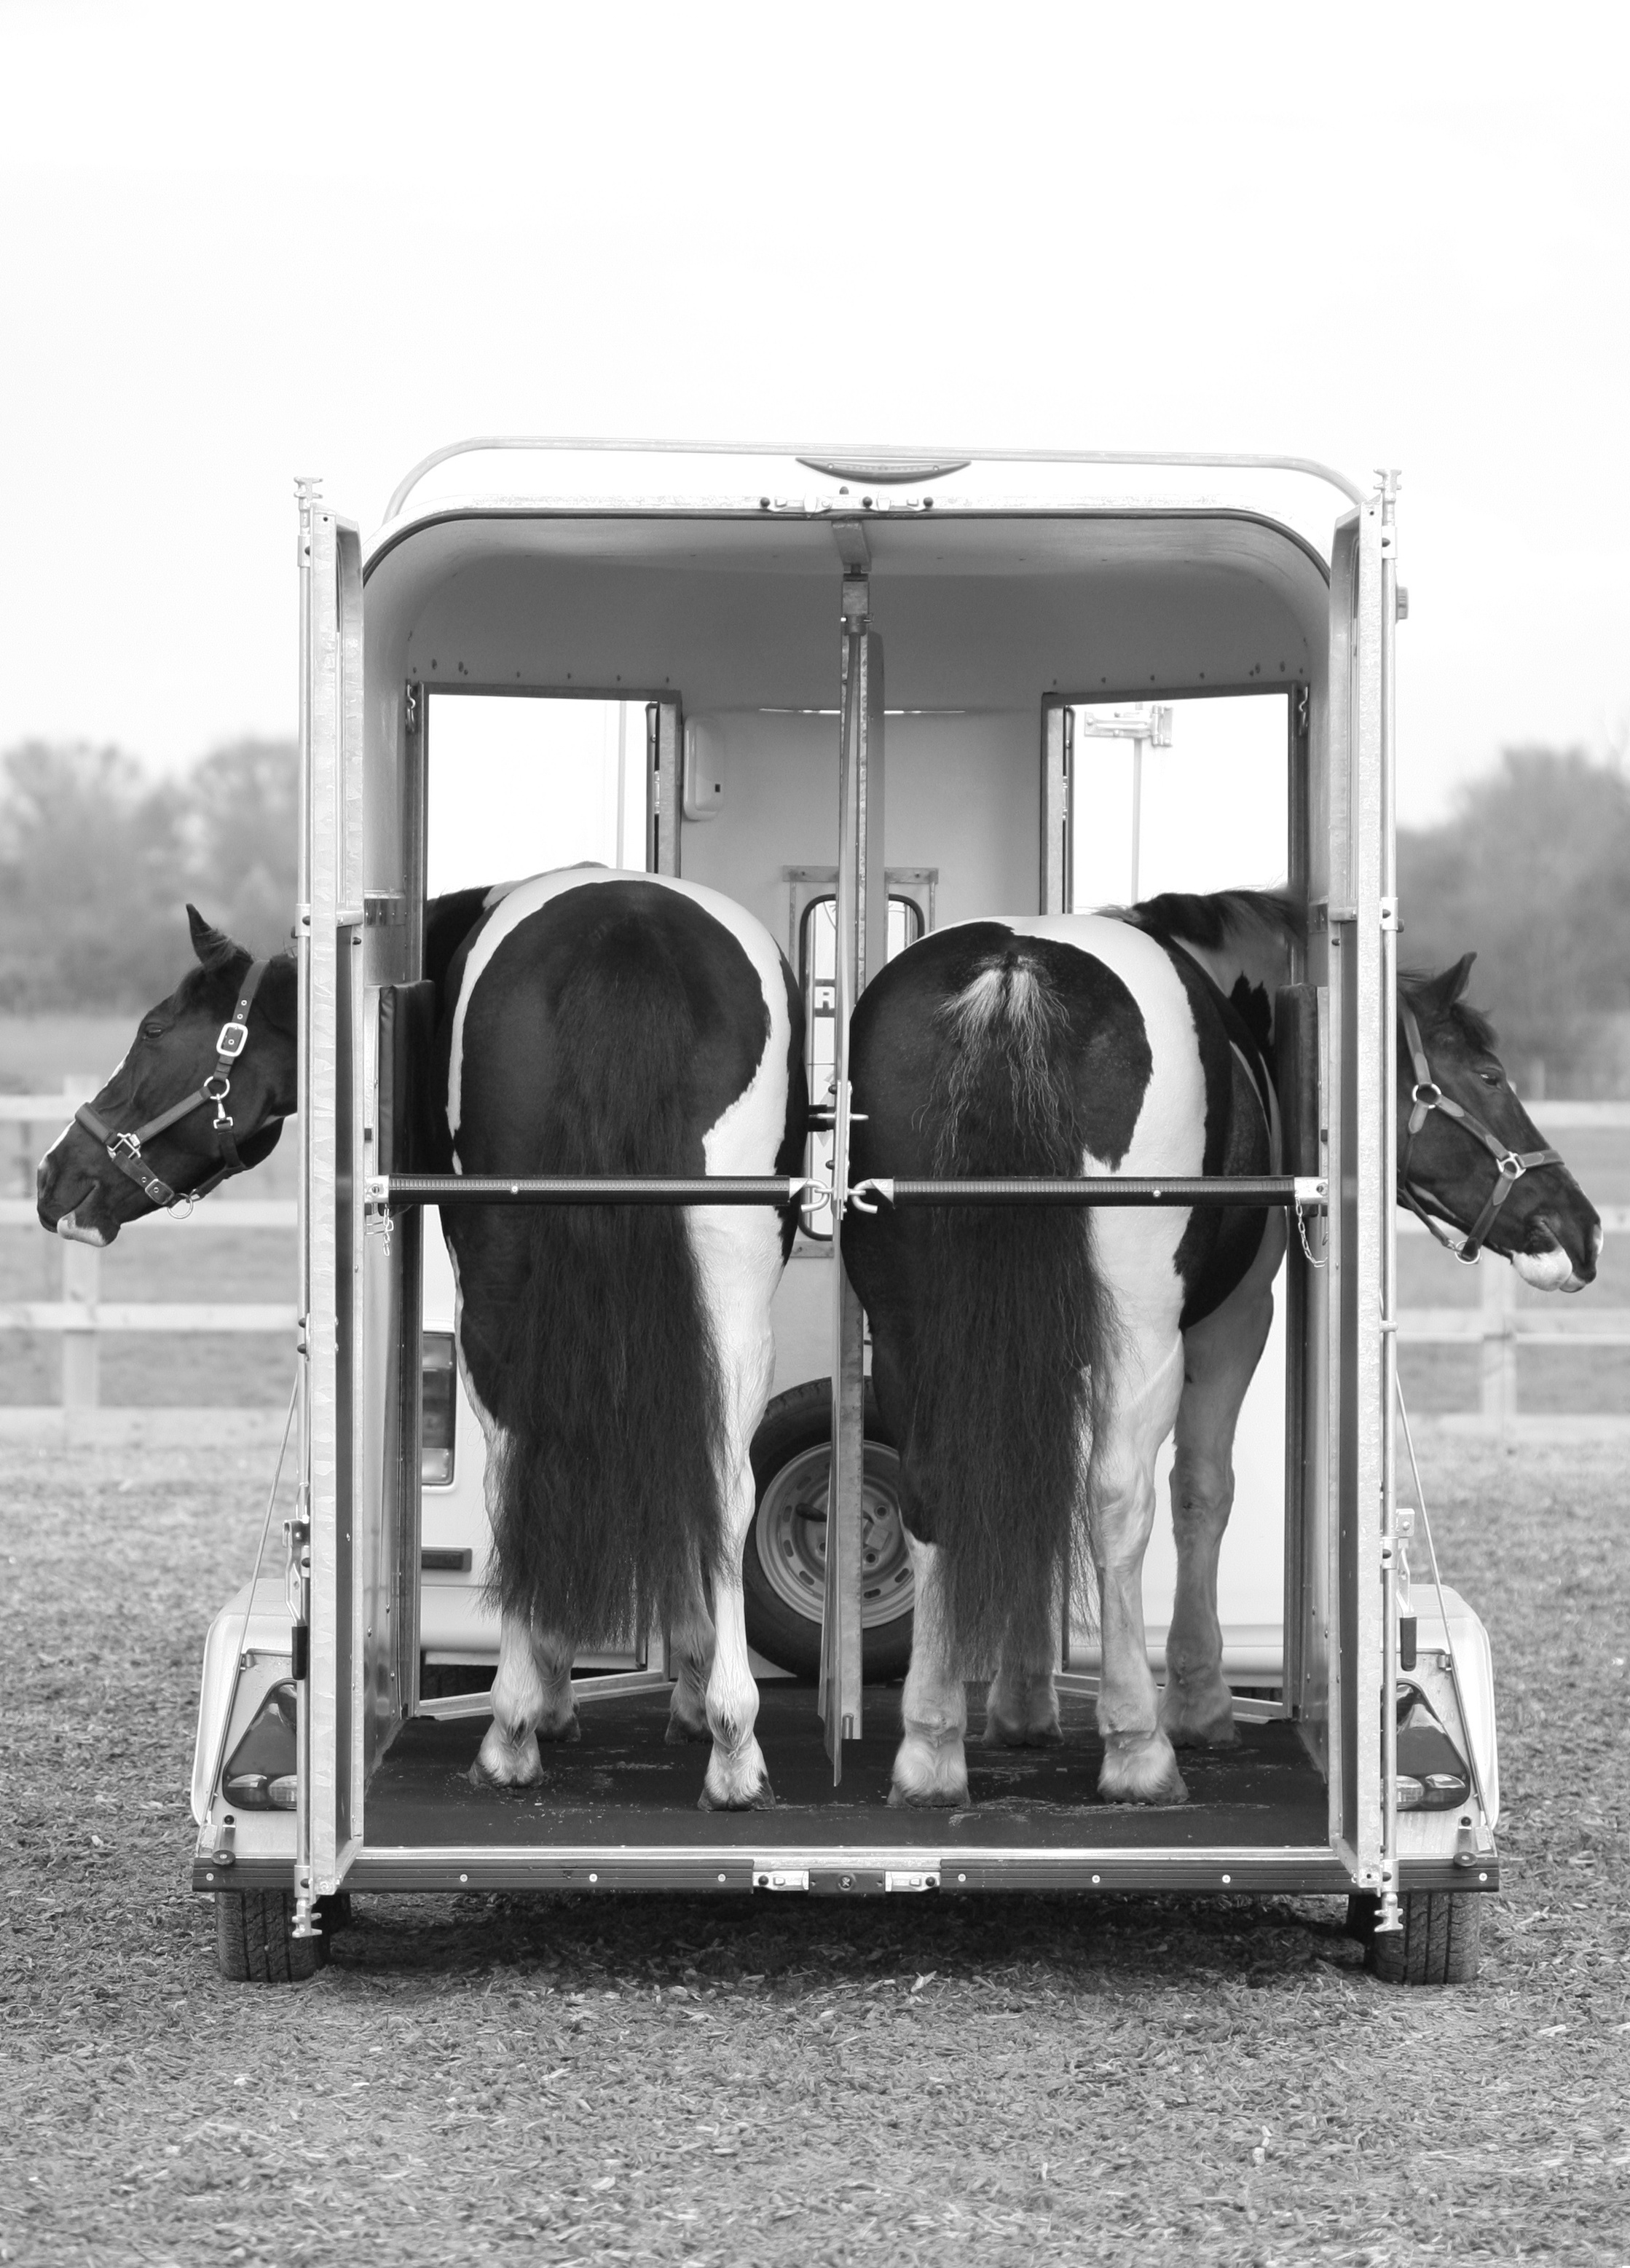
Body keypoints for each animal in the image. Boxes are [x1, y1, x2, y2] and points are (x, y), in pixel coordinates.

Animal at [37, 873, 808, 1813]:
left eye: (153, 1030)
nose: (54, 1180)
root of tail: (625, 931)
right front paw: (692, 1696)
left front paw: (555, 1698)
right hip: (734, 1284)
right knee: (722, 1481)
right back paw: (734, 1744)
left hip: (505, 1284)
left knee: (519, 1472)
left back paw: (514, 1729)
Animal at [841, 889, 1602, 1810]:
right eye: (1488, 1077)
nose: (1582, 1232)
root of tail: (1014, 973)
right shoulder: (1233, 1322)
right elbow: (1200, 1490)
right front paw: (1199, 1702)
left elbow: (1034, 1485)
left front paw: (1020, 1704)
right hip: (1142, 1332)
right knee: (1118, 1500)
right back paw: (1138, 1747)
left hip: (911, 1329)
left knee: (934, 1490)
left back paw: (929, 1746)